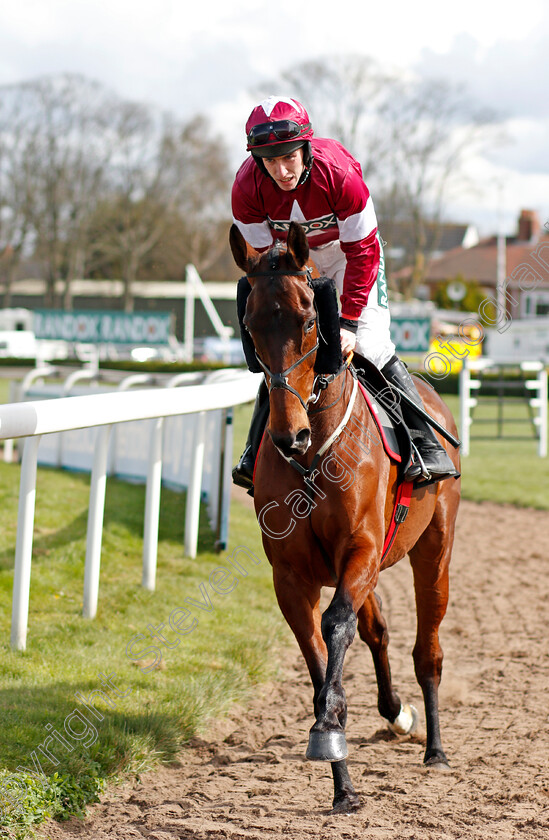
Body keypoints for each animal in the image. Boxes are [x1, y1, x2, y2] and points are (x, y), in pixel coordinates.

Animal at [229, 220, 460, 812]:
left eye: (311, 319)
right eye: (251, 324)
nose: (289, 436)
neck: (316, 453)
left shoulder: (360, 546)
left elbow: (336, 627)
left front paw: (330, 732)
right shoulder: (294, 575)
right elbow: (316, 651)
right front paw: (340, 772)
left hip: (433, 551)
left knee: (428, 648)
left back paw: (435, 746)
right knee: (376, 630)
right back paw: (395, 713)